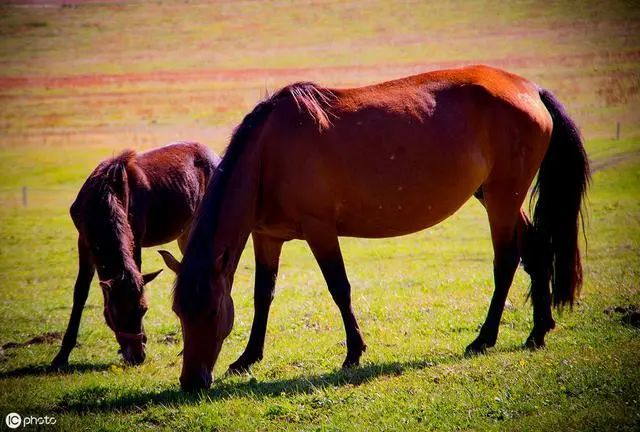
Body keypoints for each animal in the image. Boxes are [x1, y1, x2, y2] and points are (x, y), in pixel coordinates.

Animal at [50, 141, 220, 368]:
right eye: (117, 314)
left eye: (143, 310)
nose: (137, 357)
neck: (104, 197)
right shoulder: (84, 240)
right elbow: (80, 292)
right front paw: (62, 355)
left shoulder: (135, 236)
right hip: (186, 232)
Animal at [164, 65, 592, 392]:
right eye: (179, 311)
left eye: (211, 310)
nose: (192, 382)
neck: (269, 152)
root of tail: (530, 89)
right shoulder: (267, 237)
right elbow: (262, 296)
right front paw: (247, 357)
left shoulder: (320, 231)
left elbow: (339, 288)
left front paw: (353, 352)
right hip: (495, 196)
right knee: (536, 251)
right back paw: (538, 332)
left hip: (503, 198)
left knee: (506, 262)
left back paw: (484, 339)